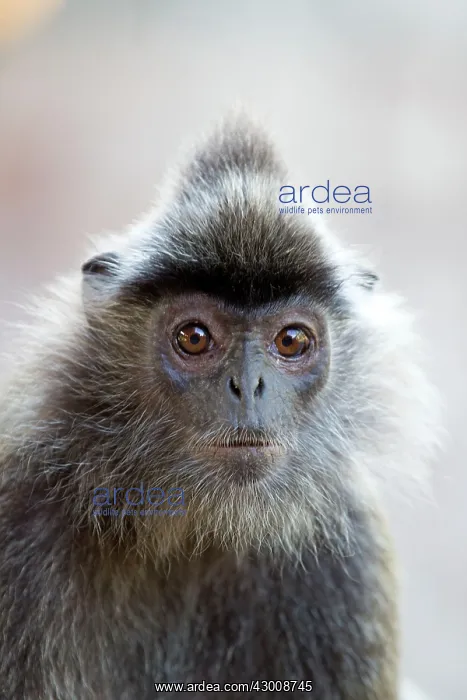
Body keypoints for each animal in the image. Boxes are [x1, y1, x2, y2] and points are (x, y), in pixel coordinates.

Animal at [0, 114, 440, 700]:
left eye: (292, 341)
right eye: (194, 337)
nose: (247, 386)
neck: (191, 526)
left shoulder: (351, 552)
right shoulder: (19, 504)